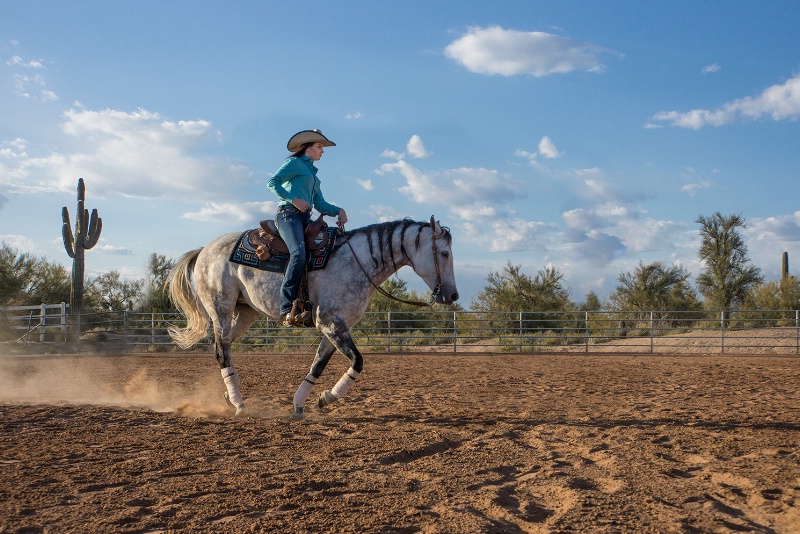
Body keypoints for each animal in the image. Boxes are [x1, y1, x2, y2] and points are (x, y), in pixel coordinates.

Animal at [166, 216, 460, 420]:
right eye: (445, 253)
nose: (453, 295)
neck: (358, 262)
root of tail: (205, 250)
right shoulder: (330, 323)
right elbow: (358, 361)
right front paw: (328, 398)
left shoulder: (335, 329)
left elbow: (317, 366)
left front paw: (301, 404)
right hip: (221, 308)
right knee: (220, 350)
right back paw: (239, 404)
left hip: (245, 312)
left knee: (223, 346)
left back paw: (230, 395)